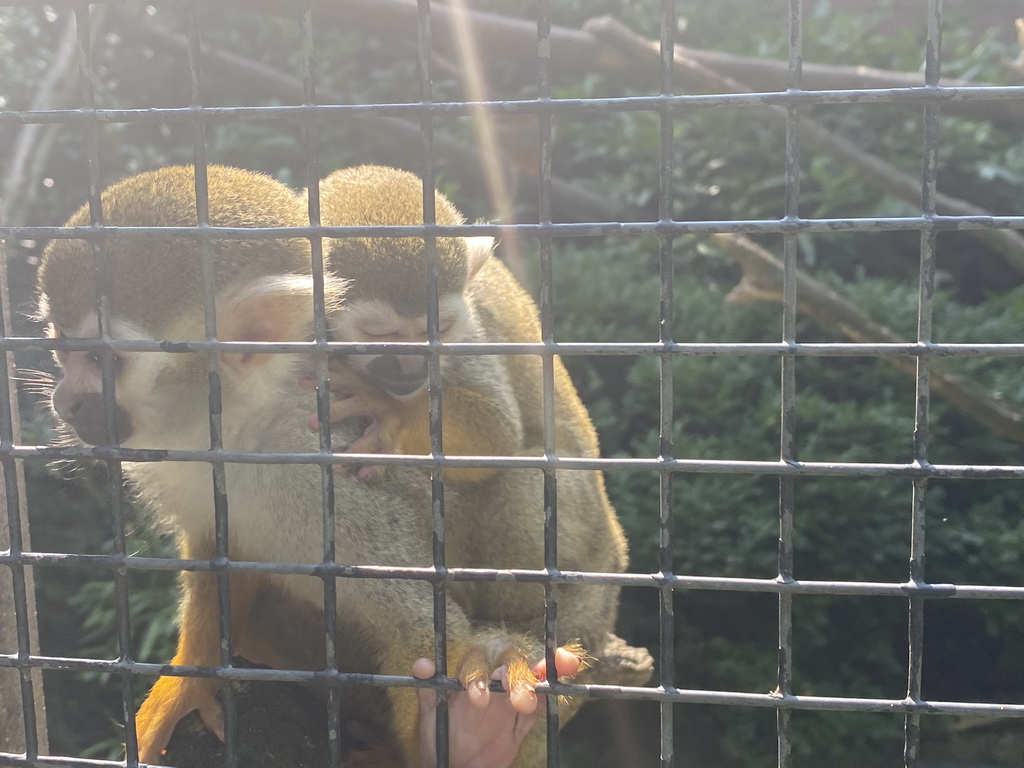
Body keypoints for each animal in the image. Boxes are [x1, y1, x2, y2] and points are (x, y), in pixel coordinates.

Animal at [41, 166, 606, 768]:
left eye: (102, 361)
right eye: (62, 346)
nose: (66, 401)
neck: (248, 425)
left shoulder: (333, 466)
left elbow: (418, 623)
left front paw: (470, 741)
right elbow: (222, 551)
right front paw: (189, 681)